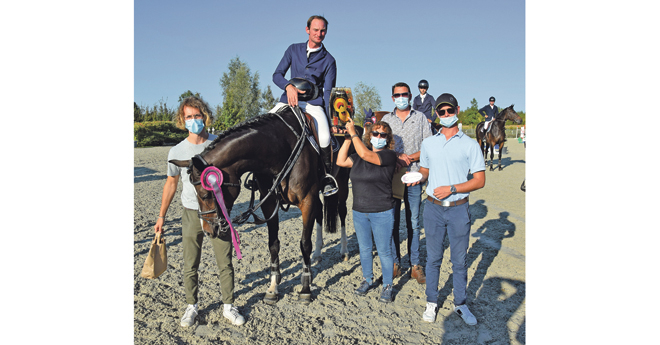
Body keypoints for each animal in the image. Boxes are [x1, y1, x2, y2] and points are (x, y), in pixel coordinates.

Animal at [170, 107, 356, 304]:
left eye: (205, 195)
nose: (207, 230)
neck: (280, 149)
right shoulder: (270, 204)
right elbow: (273, 244)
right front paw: (273, 287)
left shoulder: (307, 201)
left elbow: (305, 243)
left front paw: (305, 288)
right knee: (320, 213)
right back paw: (318, 254)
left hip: (342, 184)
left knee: (342, 212)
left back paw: (344, 251)